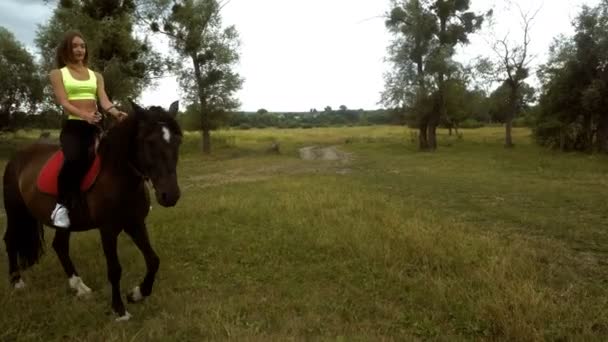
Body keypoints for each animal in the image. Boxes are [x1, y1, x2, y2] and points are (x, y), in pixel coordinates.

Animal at [2, 100, 183, 322]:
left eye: (177, 141)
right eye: (149, 142)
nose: (170, 195)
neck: (116, 175)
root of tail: (18, 156)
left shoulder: (135, 224)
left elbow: (153, 260)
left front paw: (136, 294)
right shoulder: (108, 230)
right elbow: (114, 269)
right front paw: (119, 310)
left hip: (63, 222)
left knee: (59, 246)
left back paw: (80, 287)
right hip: (15, 210)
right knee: (10, 240)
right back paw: (17, 282)